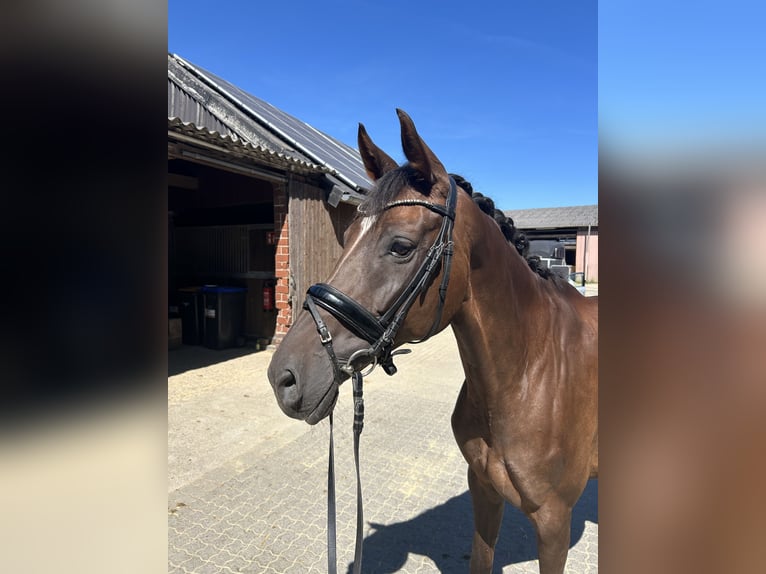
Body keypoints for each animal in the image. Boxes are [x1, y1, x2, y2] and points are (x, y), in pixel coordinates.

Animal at [267, 109, 598, 574]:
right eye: (346, 237)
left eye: (401, 246)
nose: (285, 377)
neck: (527, 375)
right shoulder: (483, 490)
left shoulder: (555, 523)